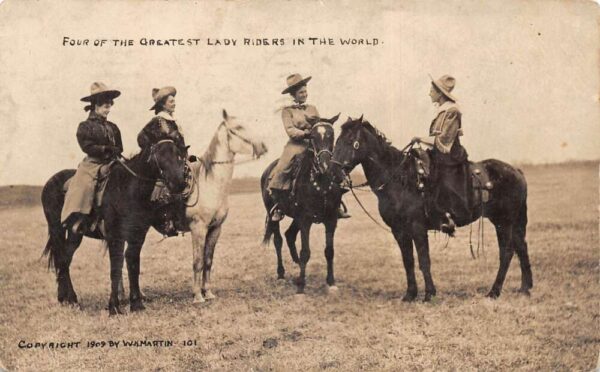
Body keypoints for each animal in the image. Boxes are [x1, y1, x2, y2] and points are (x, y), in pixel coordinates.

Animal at [41, 139, 186, 314]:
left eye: (178, 155)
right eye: (160, 155)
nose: (179, 183)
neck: (127, 188)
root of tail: (50, 182)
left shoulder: (137, 237)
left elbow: (133, 264)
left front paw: (136, 304)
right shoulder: (115, 237)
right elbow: (116, 268)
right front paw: (114, 307)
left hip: (75, 234)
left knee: (64, 260)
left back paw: (67, 299)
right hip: (57, 230)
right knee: (61, 260)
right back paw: (70, 299)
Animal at [183, 109, 268, 302]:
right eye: (239, 127)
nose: (262, 146)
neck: (209, 183)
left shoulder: (215, 228)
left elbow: (207, 261)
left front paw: (208, 292)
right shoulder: (198, 228)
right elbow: (197, 262)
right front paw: (197, 296)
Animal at [260, 113, 344, 294]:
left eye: (332, 135)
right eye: (312, 136)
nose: (325, 165)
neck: (321, 182)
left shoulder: (331, 220)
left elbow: (329, 251)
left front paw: (331, 282)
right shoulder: (305, 220)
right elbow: (305, 251)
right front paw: (301, 287)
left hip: (296, 217)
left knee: (289, 235)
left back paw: (298, 267)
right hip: (274, 214)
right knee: (278, 240)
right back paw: (281, 274)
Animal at [330, 117, 532, 300]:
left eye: (350, 141)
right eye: (337, 140)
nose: (333, 171)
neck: (399, 179)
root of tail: (517, 171)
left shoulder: (417, 227)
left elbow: (423, 260)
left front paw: (429, 294)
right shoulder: (399, 230)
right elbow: (408, 261)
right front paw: (410, 294)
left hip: (504, 222)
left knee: (507, 252)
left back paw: (494, 292)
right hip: (509, 221)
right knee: (521, 246)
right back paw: (525, 288)